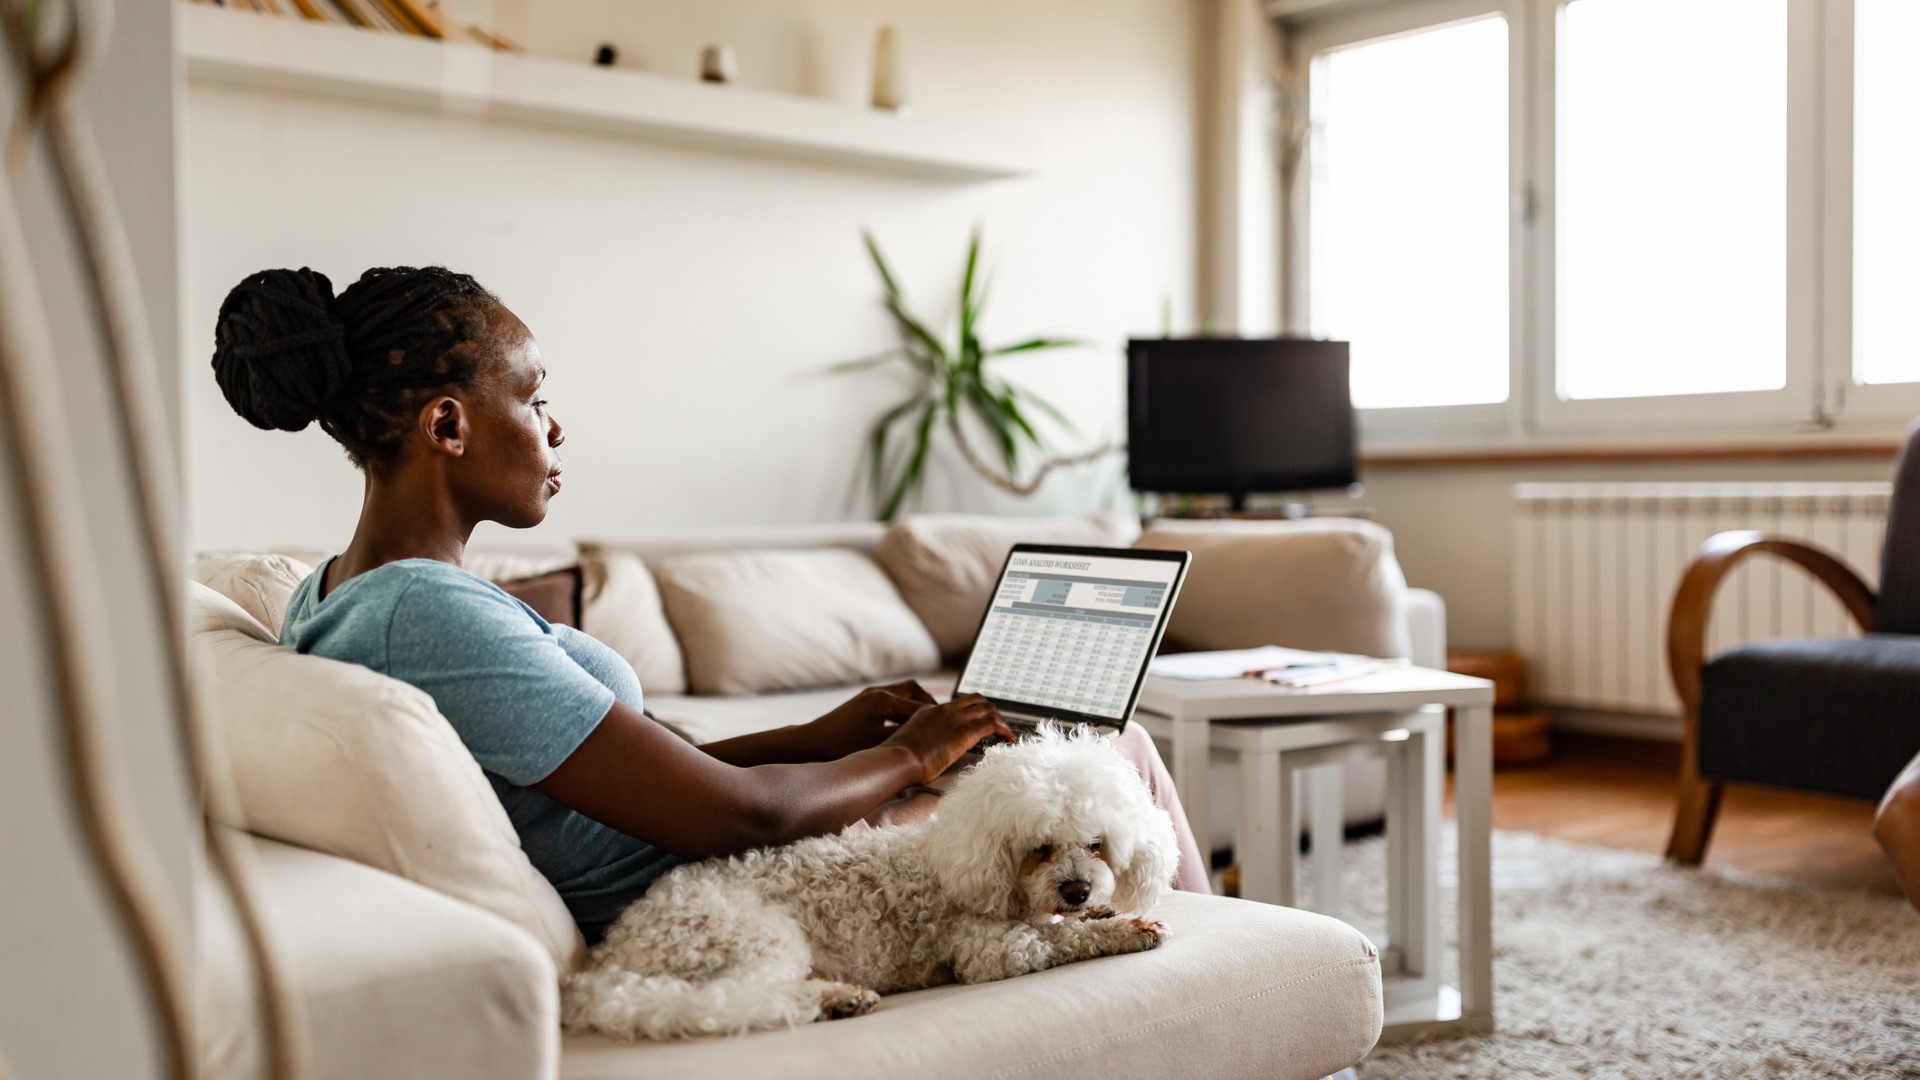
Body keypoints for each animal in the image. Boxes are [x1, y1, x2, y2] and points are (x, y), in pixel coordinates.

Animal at [560, 718, 1175, 1037]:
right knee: (738, 998)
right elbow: (1062, 938)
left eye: (1096, 844)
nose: (1077, 889)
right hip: (752, 937)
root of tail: (608, 962)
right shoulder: (989, 948)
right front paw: (1124, 928)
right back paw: (837, 999)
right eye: (1039, 848)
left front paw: (1102, 910)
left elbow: (1070, 924)